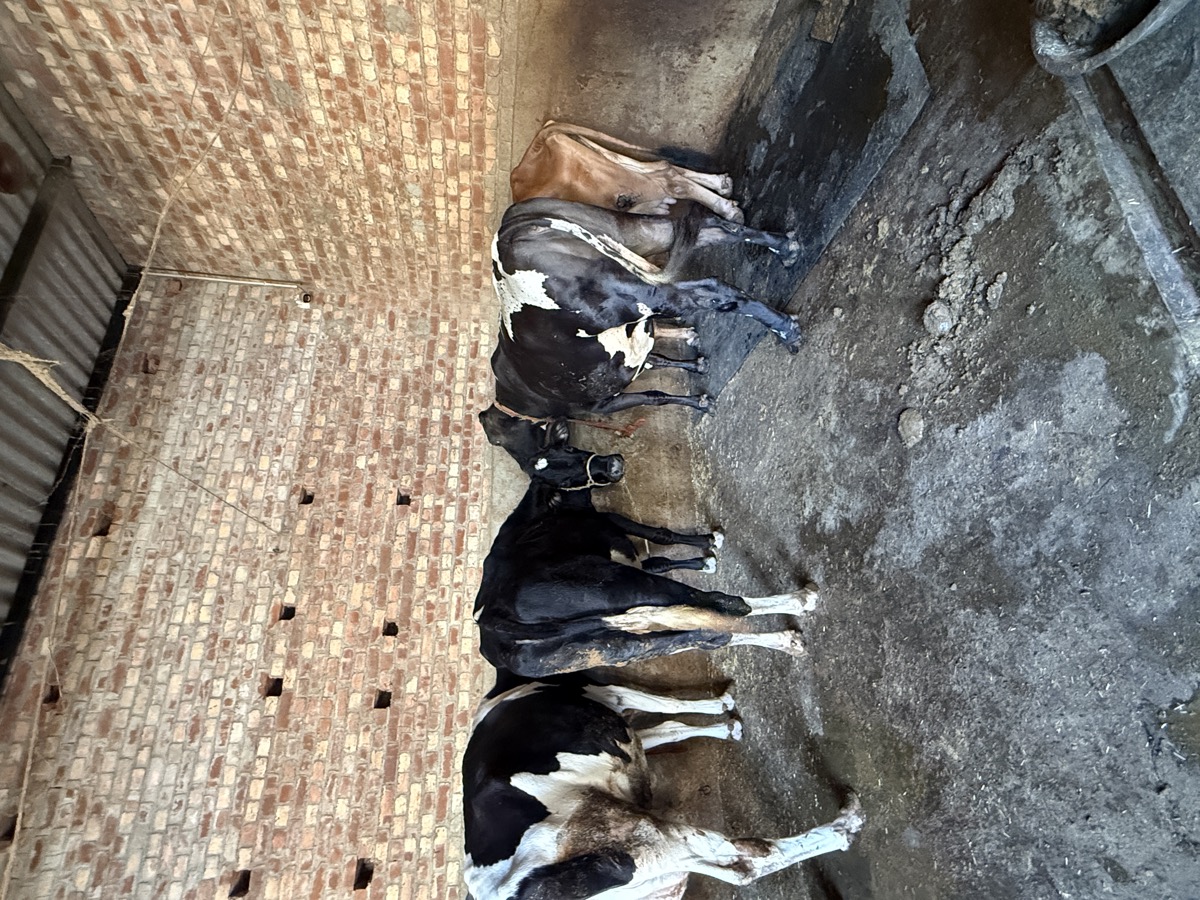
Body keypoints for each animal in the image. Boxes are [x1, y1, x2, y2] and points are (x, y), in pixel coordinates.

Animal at [463, 670, 865, 899]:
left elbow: (668, 729)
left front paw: (724, 725)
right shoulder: (613, 693)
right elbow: (665, 705)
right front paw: (722, 705)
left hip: (653, 875)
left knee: (738, 869)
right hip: (639, 837)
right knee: (749, 852)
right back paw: (844, 824)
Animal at [473, 476, 819, 678]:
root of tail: (492, 619)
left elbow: (657, 561)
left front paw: (703, 555)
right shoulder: (612, 522)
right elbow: (656, 535)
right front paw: (708, 544)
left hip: (601, 649)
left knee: (699, 635)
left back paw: (786, 640)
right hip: (617, 584)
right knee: (722, 605)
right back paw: (799, 603)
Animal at [492, 197, 804, 422]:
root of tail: (510, 234)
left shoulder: (601, 406)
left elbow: (655, 395)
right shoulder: (637, 356)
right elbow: (660, 367)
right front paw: (697, 371)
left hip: (634, 295)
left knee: (714, 290)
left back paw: (786, 330)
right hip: (623, 230)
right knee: (716, 228)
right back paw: (786, 247)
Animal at [510, 119, 745, 222]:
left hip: (604, 178)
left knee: (668, 178)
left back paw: (728, 210)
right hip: (597, 155)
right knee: (659, 166)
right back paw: (721, 185)